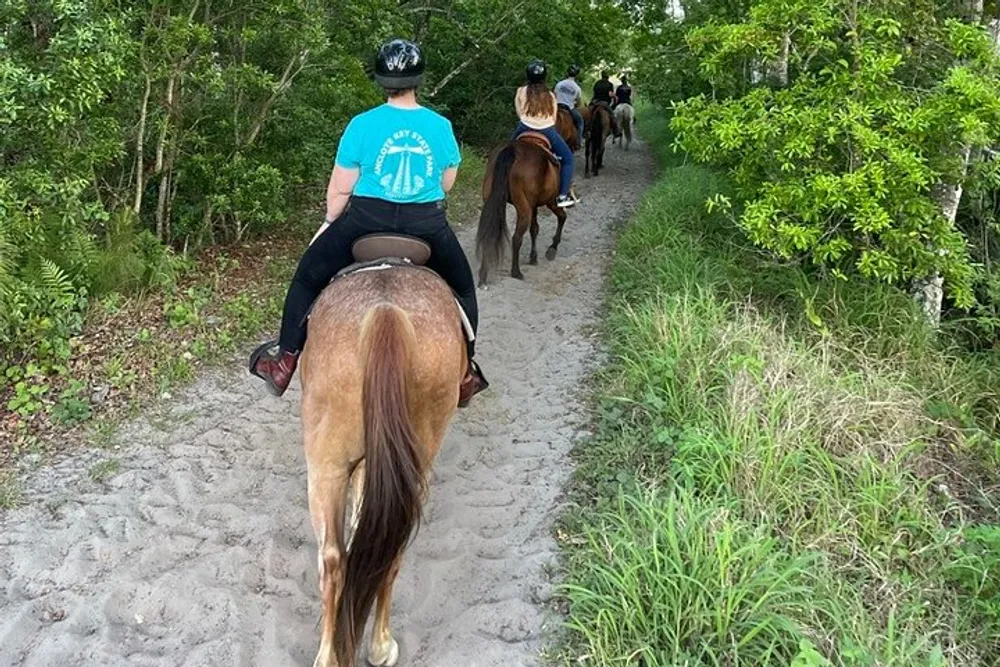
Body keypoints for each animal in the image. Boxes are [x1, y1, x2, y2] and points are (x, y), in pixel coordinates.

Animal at [298, 248, 466, 664]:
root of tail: (385, 314)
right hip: (410, 465)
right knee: (386, 553)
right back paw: (377, 647)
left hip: (325, 468)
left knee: (334, 559)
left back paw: (345, 652)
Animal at [478, 134, 572, 284]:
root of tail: (512, 151)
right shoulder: (551, 202)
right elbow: (562, 217)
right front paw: (552, 249)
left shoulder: (533, 205)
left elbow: (534, 229)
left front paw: (533, 257)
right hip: (524, 207)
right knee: (516, 237)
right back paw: (516, 272)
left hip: (492, 200)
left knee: (489, 232)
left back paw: (483, 276)